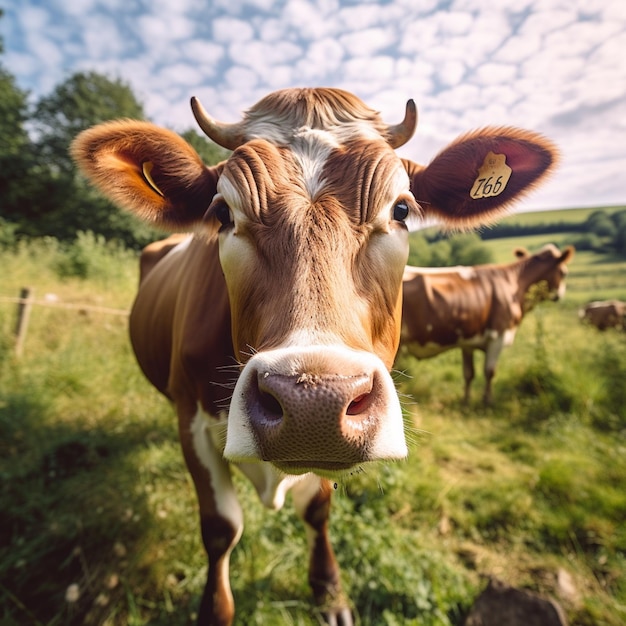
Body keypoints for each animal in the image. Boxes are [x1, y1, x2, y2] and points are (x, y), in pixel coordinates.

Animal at [400, 241, 572, 408]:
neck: (514, 285)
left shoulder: (467, 342)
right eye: (564, 272)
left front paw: (466, 401)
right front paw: (487, 401)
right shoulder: (498, 336)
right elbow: (490, 372)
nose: (561, 295)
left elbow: (469, 373)